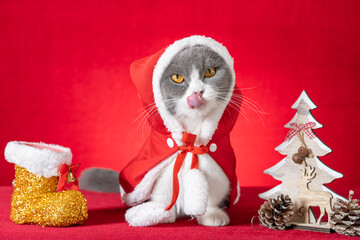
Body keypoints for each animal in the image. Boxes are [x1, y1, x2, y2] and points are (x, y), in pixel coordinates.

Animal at [80, 35, 240, 227]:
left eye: (210, 72)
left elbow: (212, 193)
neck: (191, 136)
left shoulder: (217, 171)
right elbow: (163, 192)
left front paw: (212, 215)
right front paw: (162, 213)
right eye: (177, 77)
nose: (197, 92)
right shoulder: (160, 173)